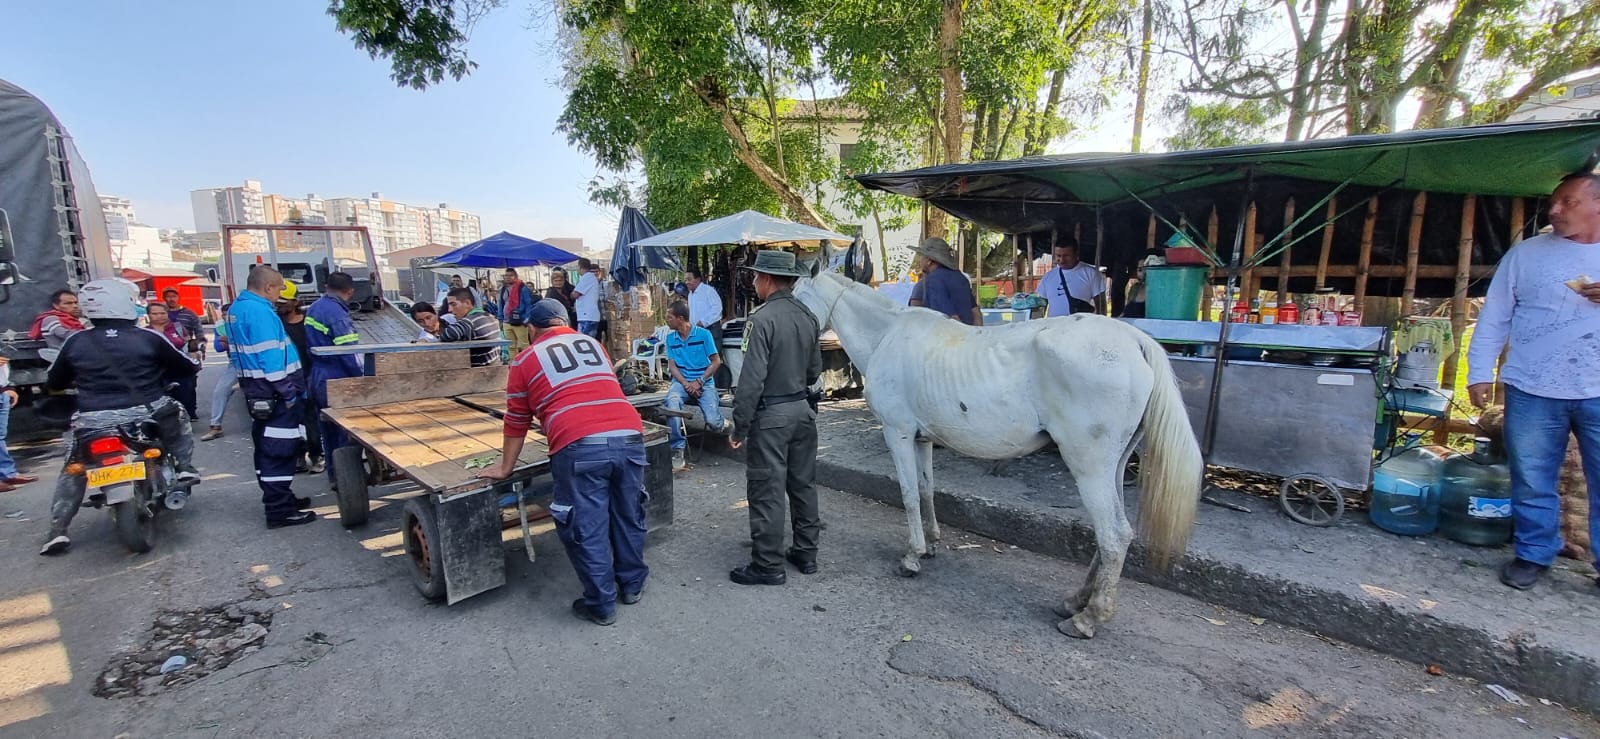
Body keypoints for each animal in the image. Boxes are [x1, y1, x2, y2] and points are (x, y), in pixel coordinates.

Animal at [800, 268, 1203, 636]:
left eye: (797, 297)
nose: (814, 385)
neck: (887, 335)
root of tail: (1134, 340)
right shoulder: (921, 439)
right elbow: (926, 490)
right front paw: (930, 544)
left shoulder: (897, 432)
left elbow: (909, 495)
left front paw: (912, 557)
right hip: (1114, 465)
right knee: (1111, 535)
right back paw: (1076, 601)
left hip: (1089, 466)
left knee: (1114, 535)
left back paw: (1088, 618)